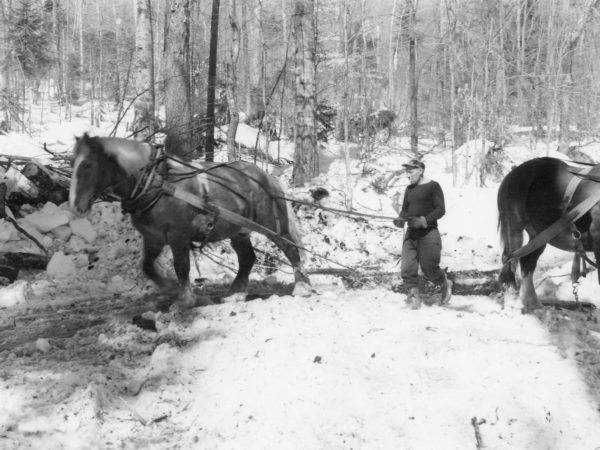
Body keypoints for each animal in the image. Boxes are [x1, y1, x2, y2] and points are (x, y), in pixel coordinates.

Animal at [70, 133, 312, 306]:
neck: (155, 182)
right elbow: (147, 266)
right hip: (238, 231)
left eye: (88, 164)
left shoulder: (178, 235)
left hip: (272, 225)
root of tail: (267, 176)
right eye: (73, 163)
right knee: (247, 259)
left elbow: (181, 266)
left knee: (291, 249)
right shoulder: (153, 238)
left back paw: (301, 287)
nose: (75, 206)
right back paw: (235, 294)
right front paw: (168, 286)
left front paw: (185, 299)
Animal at [496, 156, 600, 312]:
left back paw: (533, 304)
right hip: (514, 226)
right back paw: (512, 303)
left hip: (539, 235)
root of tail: (513, 172)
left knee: (527, 261)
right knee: (510, 259)